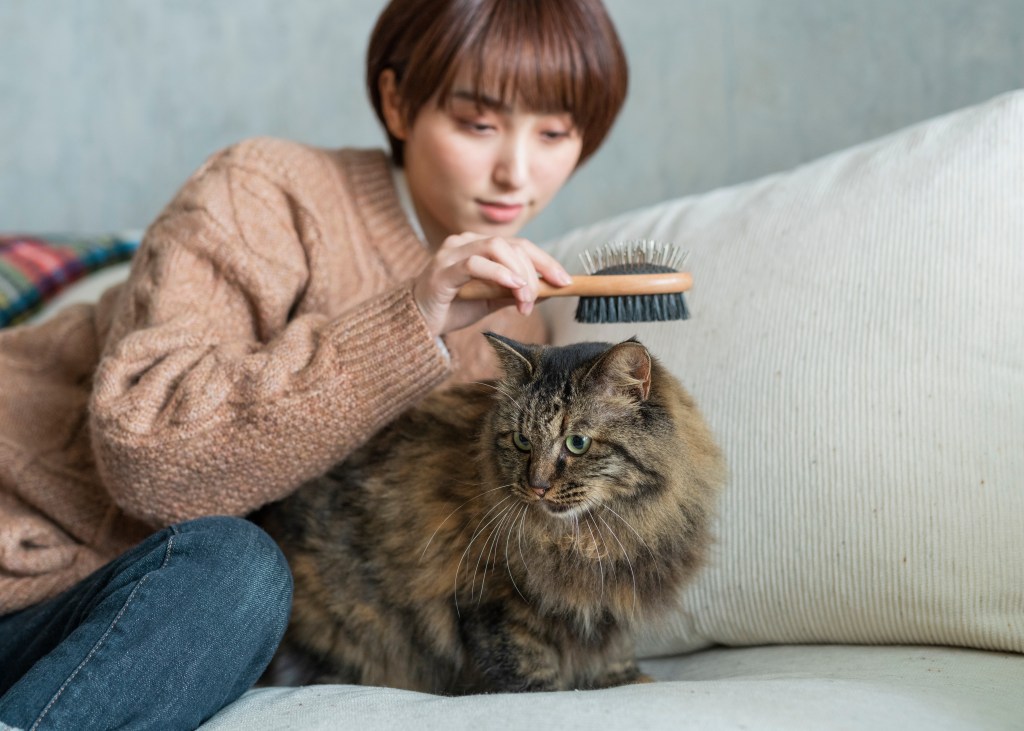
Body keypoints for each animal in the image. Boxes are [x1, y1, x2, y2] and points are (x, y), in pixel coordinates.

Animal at [251, 333, 724, 692]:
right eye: (521, 440)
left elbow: (613, 649)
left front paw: (624, 681)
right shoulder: (491, 599)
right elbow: (527, 667)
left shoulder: (614, 591)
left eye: (577, 443)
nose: (537, 486)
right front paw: (551, 695)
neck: (591, 539)